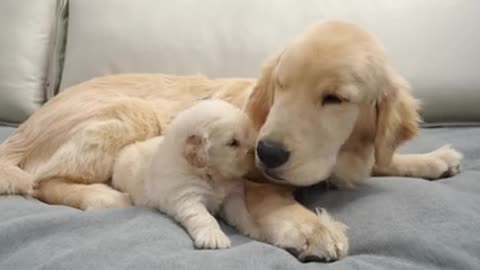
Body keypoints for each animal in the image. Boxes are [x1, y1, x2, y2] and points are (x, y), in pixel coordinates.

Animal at [111, 99, 258, 249]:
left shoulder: (232, 196)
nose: (255, 152)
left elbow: (241, 213)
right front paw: (213, 237)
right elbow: (204, 217)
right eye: (233, 143)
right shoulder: (188, 196)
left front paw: (254, 229)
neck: (213, 175)